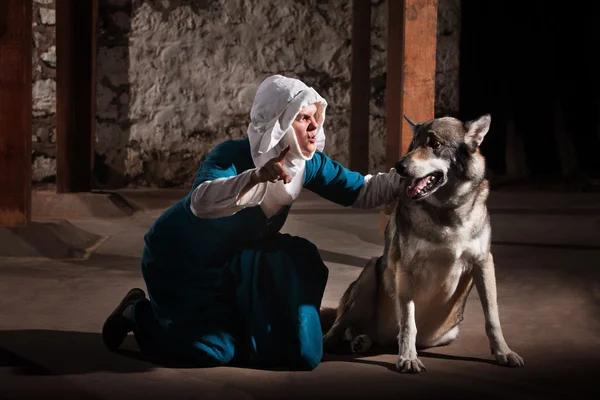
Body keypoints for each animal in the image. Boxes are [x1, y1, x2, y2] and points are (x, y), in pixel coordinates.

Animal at [322, 114, 524, 374]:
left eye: (434, 144)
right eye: (413, 145)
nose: (399, 167)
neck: (448, 212)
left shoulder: (484, 263)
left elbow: (492, 318)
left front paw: (503, 352)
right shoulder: (406, 268)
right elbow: (409, 323)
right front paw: (408, 358)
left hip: (446, 332)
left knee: (365, 335)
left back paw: (362, 341)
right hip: (369, 274)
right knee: (340, 325)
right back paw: (331, 341)